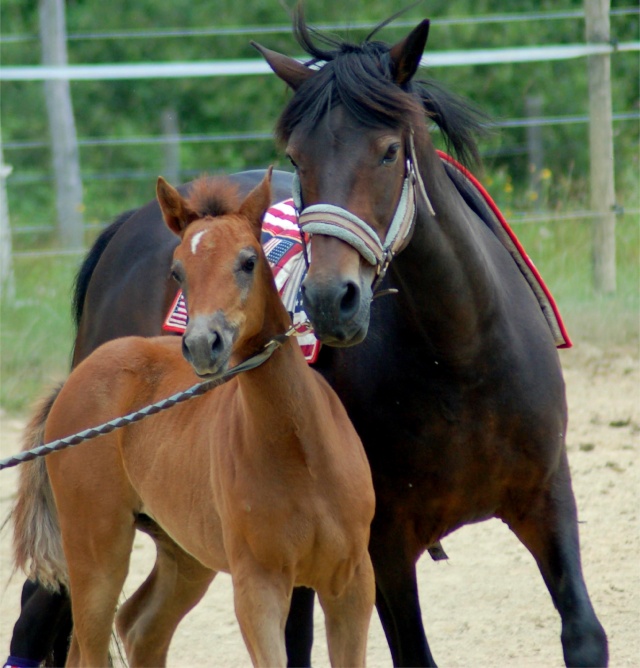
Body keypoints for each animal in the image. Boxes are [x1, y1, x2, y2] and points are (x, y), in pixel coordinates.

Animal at [13, 174, 376, 668]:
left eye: (249, 261)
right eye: (177, 272)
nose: (205, 343)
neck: (300, 449)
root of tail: (78, 375)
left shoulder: (353, 580)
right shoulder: (258, 586)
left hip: (184, 554)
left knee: (141, 626)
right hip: (95, 549)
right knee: (90, 642)